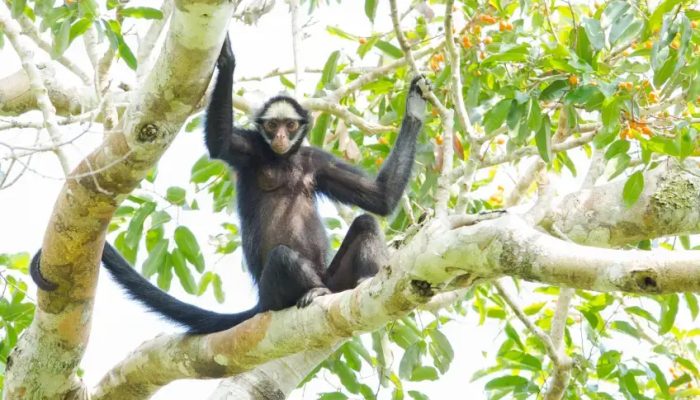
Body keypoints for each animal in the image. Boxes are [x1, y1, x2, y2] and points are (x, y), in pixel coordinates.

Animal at [31, 36, 428, 334]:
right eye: (272, 127)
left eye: (289, 126)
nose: (280, 137)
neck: (282, 161)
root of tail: (262, 302)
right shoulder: (250, 149)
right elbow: (219, 143)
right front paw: (227, 61)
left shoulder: (316, 161)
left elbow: (380, 200)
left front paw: (414, 108)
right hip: (276, 290)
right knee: (283, 256)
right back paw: (312, 292)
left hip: (335, 278)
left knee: (365, 222)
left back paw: (363, 282)